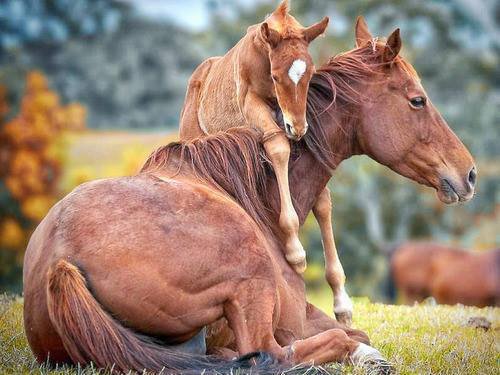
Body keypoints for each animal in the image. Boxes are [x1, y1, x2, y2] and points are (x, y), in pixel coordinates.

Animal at [179, 0, 328, 274]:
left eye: (310, 74)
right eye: (276, 76)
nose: (297, 128)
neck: (262, 54)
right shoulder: (251, 103)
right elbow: (278, 146)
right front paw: (296, 252)